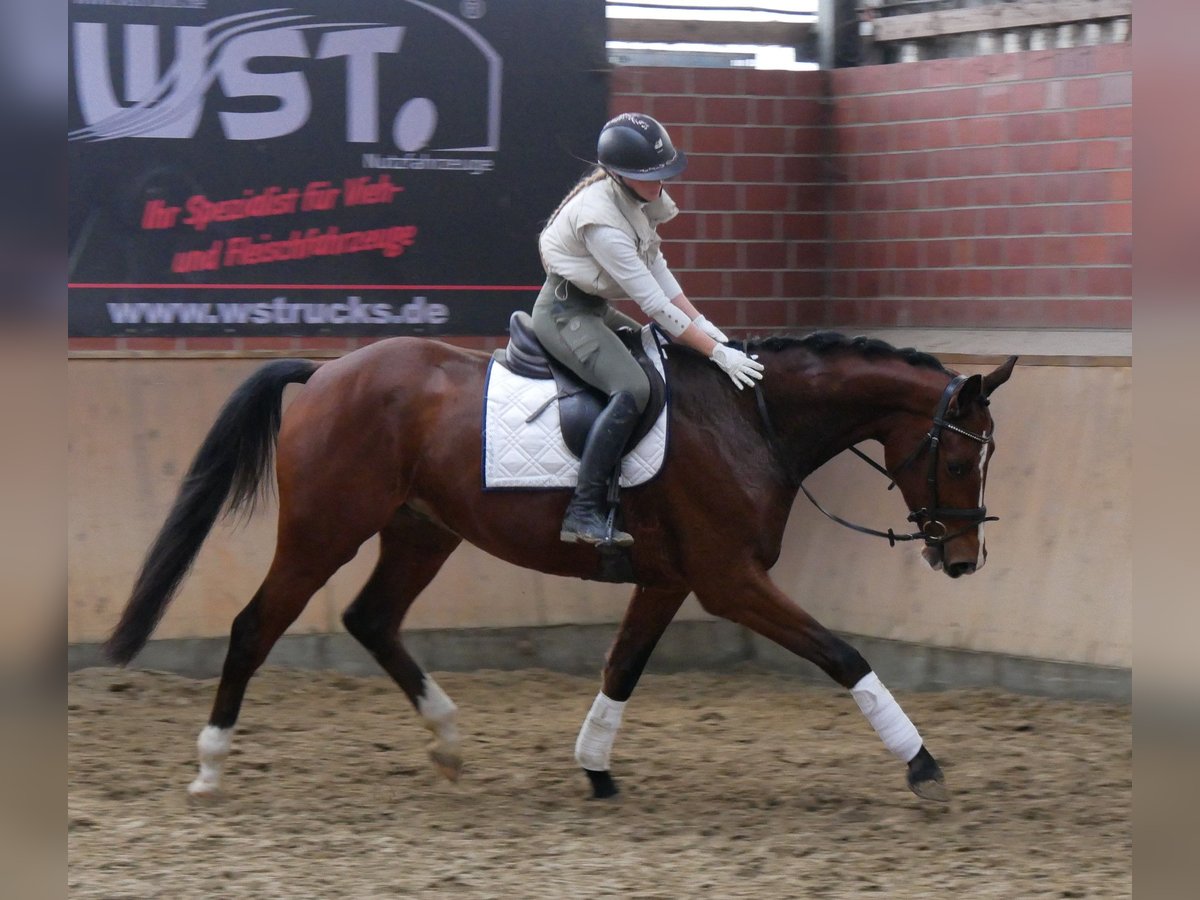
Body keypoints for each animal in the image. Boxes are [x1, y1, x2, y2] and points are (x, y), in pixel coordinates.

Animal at [108, 328, 1017, 801]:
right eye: (957, 460)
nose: (964, 560)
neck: (748, 420)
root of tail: (329, 369)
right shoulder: (728, 581)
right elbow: (842, 654)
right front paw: (923, 764)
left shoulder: (670, 580)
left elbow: (622, 668)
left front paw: (596, 769)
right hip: (321, 533)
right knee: (254, 627)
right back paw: (209, 766)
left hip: (420, 532)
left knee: (372, 619)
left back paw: (447, 740)